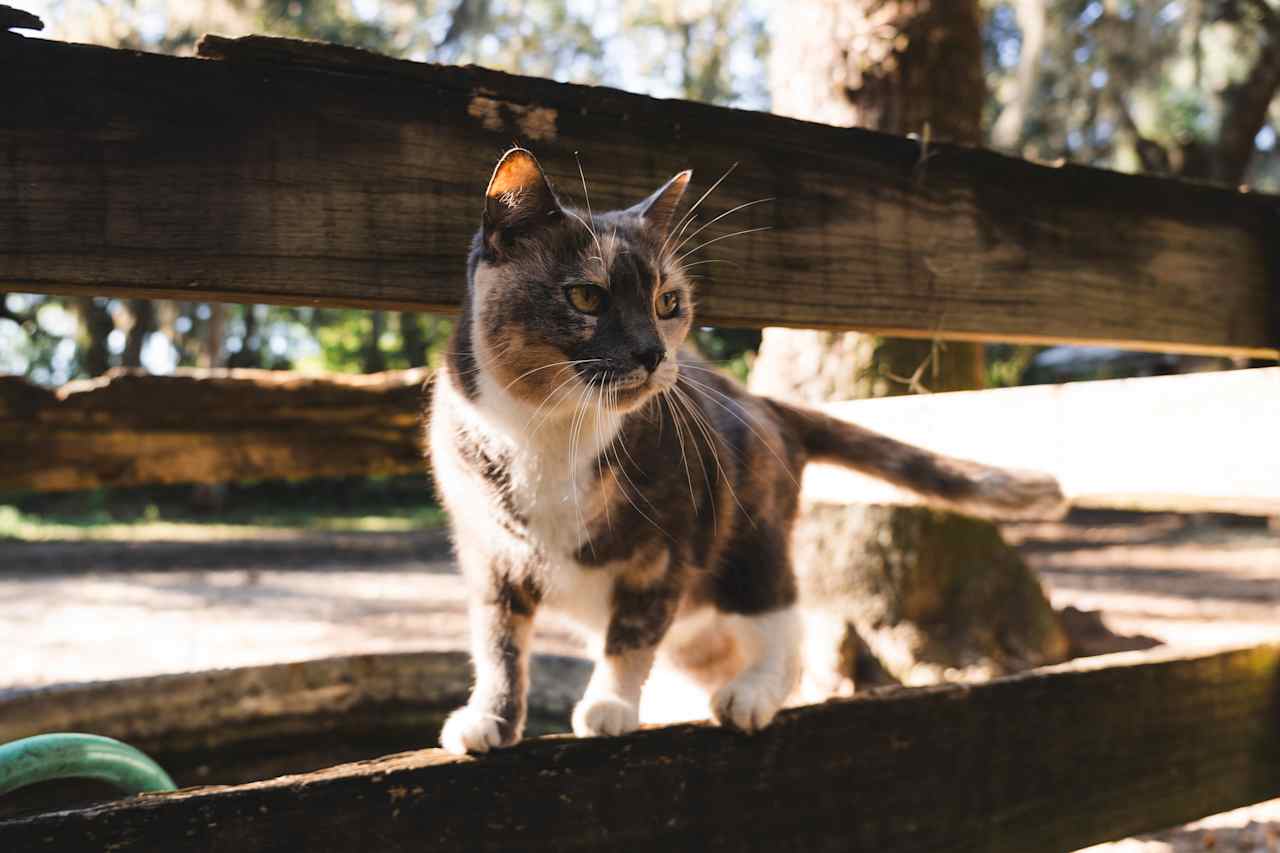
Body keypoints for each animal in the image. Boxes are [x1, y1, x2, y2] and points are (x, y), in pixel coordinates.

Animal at [427, 146, 1059, 753]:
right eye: (586, 296)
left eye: (667, 302)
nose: (653, 353)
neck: (551, 432)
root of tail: (766, 403)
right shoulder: (488, 554)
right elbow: (498, 643)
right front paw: (489, 718)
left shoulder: (668, 546)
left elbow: (631, 634)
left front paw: (609, 706)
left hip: (753, 541)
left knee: (784, 620)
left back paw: (751, 694)